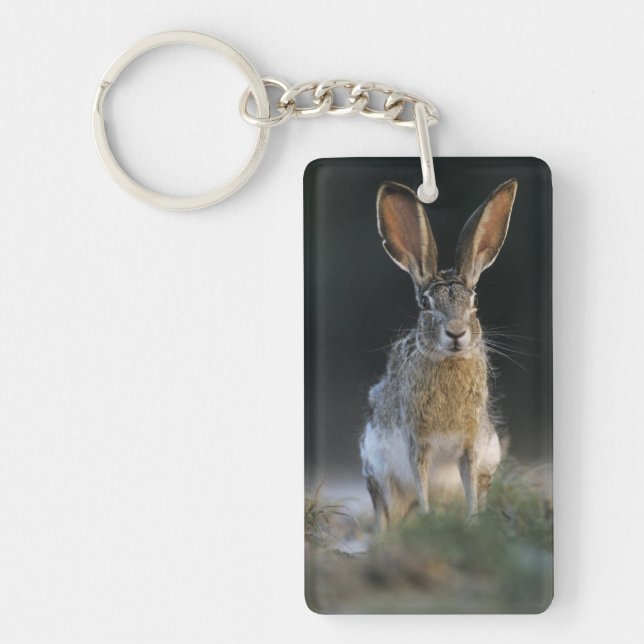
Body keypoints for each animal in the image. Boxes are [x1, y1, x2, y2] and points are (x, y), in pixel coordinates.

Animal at [360, 178, 518, 531]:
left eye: (474, 302)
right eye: (425, 304)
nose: (456, 332)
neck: (449, 362)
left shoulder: (472, 447)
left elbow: (469, 486)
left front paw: (473, 525)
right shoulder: (417, 443)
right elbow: (421, 485)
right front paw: (428, 519)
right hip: (376, 470)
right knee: (384, 512)